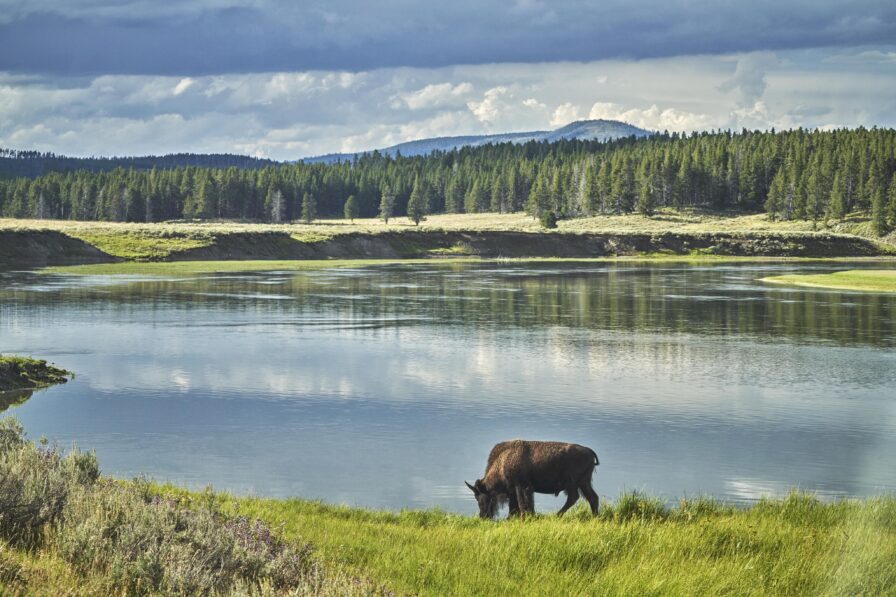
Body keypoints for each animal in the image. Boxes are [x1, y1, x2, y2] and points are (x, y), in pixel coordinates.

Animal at [466, 439, 600, 519]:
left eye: (481, 497)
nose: (482, 516)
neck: (503, 461)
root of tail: (589, 450)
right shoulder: (516, 490)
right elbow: (516, 506)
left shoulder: (521, 487)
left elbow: (522, 504)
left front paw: (525, 517)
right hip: (584, 482)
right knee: (592, 497)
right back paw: (595, 516)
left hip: (573, 483)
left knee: (574, 498)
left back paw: (557, 515)